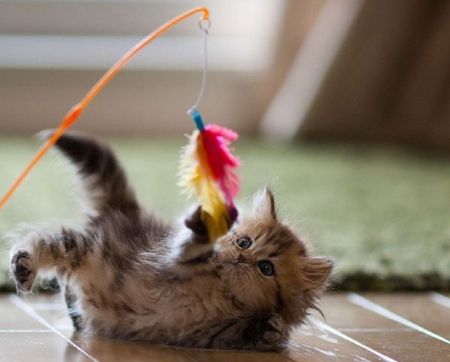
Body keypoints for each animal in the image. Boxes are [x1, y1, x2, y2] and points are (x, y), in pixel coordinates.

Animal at [8, 132, 332, 350]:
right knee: (42, 241)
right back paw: (24, 266)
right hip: (84, 245)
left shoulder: (212, 334)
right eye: (244, 243)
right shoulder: (170, 260)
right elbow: (191, 246)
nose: (242, 259)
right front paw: (209, 222)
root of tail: (128, 211)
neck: (220, 290)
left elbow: (255, 334)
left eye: (266, 268)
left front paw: (271, 330)